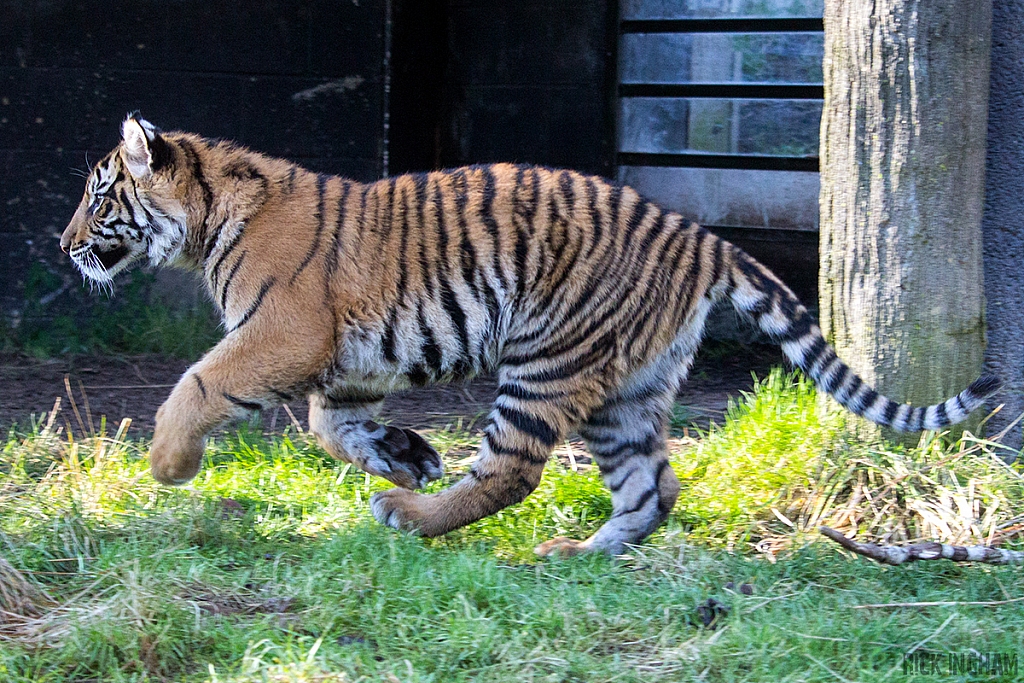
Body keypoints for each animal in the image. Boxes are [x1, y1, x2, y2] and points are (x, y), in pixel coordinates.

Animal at [59, 116, 995, 557]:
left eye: (100, 194)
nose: (64, 245)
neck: (207, 219)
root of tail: (703, 237)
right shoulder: (348, 359)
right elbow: (331, 425)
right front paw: (407, 453)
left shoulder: (283, 331)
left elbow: (200, 382)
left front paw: (168, 465)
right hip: (626, 389)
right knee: (653, 485)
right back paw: (576, 552)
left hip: (548, 357)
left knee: (514, 470)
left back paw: (412, 515)